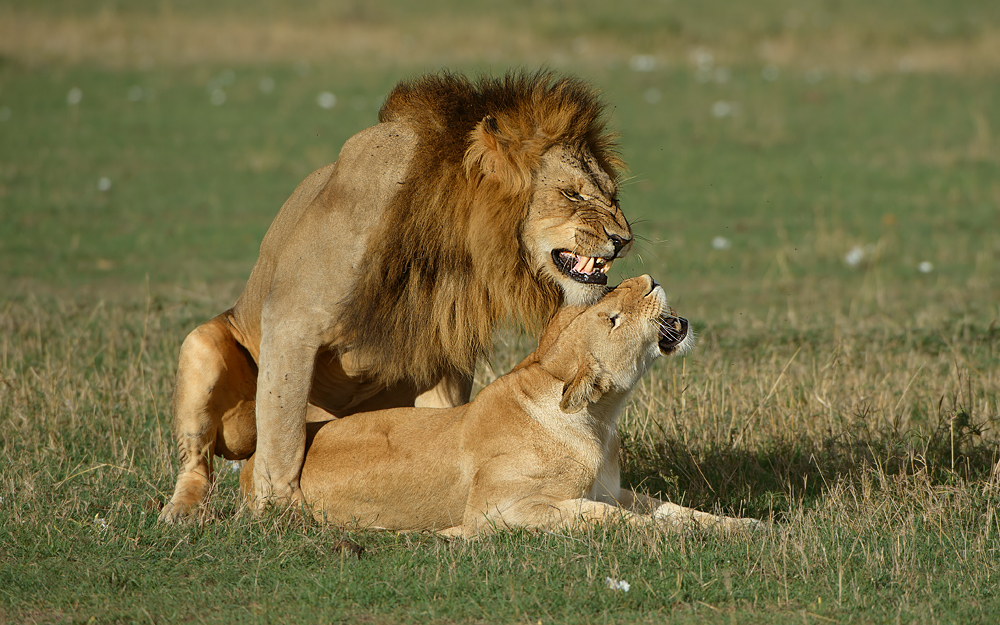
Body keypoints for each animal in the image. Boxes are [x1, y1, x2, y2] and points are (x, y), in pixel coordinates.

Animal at [162, 70, 632, 520]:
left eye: (612, 195)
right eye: (572, 193)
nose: (624, 239)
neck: (448, 247)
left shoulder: (444, 342)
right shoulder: (291, 319)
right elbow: (283, 431)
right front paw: (279, 510)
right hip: (202, 348)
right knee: (201, 457)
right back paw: (183, 510)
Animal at [242, 278, 756, 536]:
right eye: (612, 317)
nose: (650, 280)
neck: (599, 421)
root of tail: (249, 465)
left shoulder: (612, 489)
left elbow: (672, 509)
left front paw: (743, 525)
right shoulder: (498, 509)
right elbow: (597, 516)